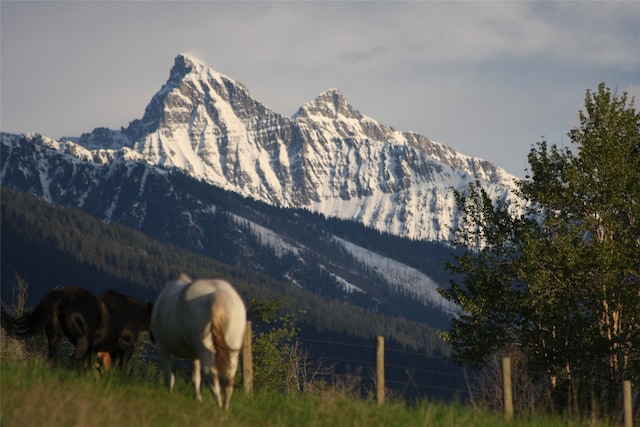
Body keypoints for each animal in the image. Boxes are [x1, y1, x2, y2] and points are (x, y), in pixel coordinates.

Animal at [0, 286, 152, 370]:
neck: (134, 312)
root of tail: (61, 294)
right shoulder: (126, 347)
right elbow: (119, 368)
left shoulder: (97, 349)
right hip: (82, 340)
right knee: (73, 359)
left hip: (55, 336)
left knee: (53, 359)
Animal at [152, 276, 248, 410]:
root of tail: (218, 294)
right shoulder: (194, 355)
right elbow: (195, 377)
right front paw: (198, 399)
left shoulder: (162, 347)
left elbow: (169, 375)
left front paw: (170, 394)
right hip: (232, 348)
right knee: (229, 379)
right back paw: (225, 407)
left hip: (204, 349)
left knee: (212, 376)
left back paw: (218, 405)